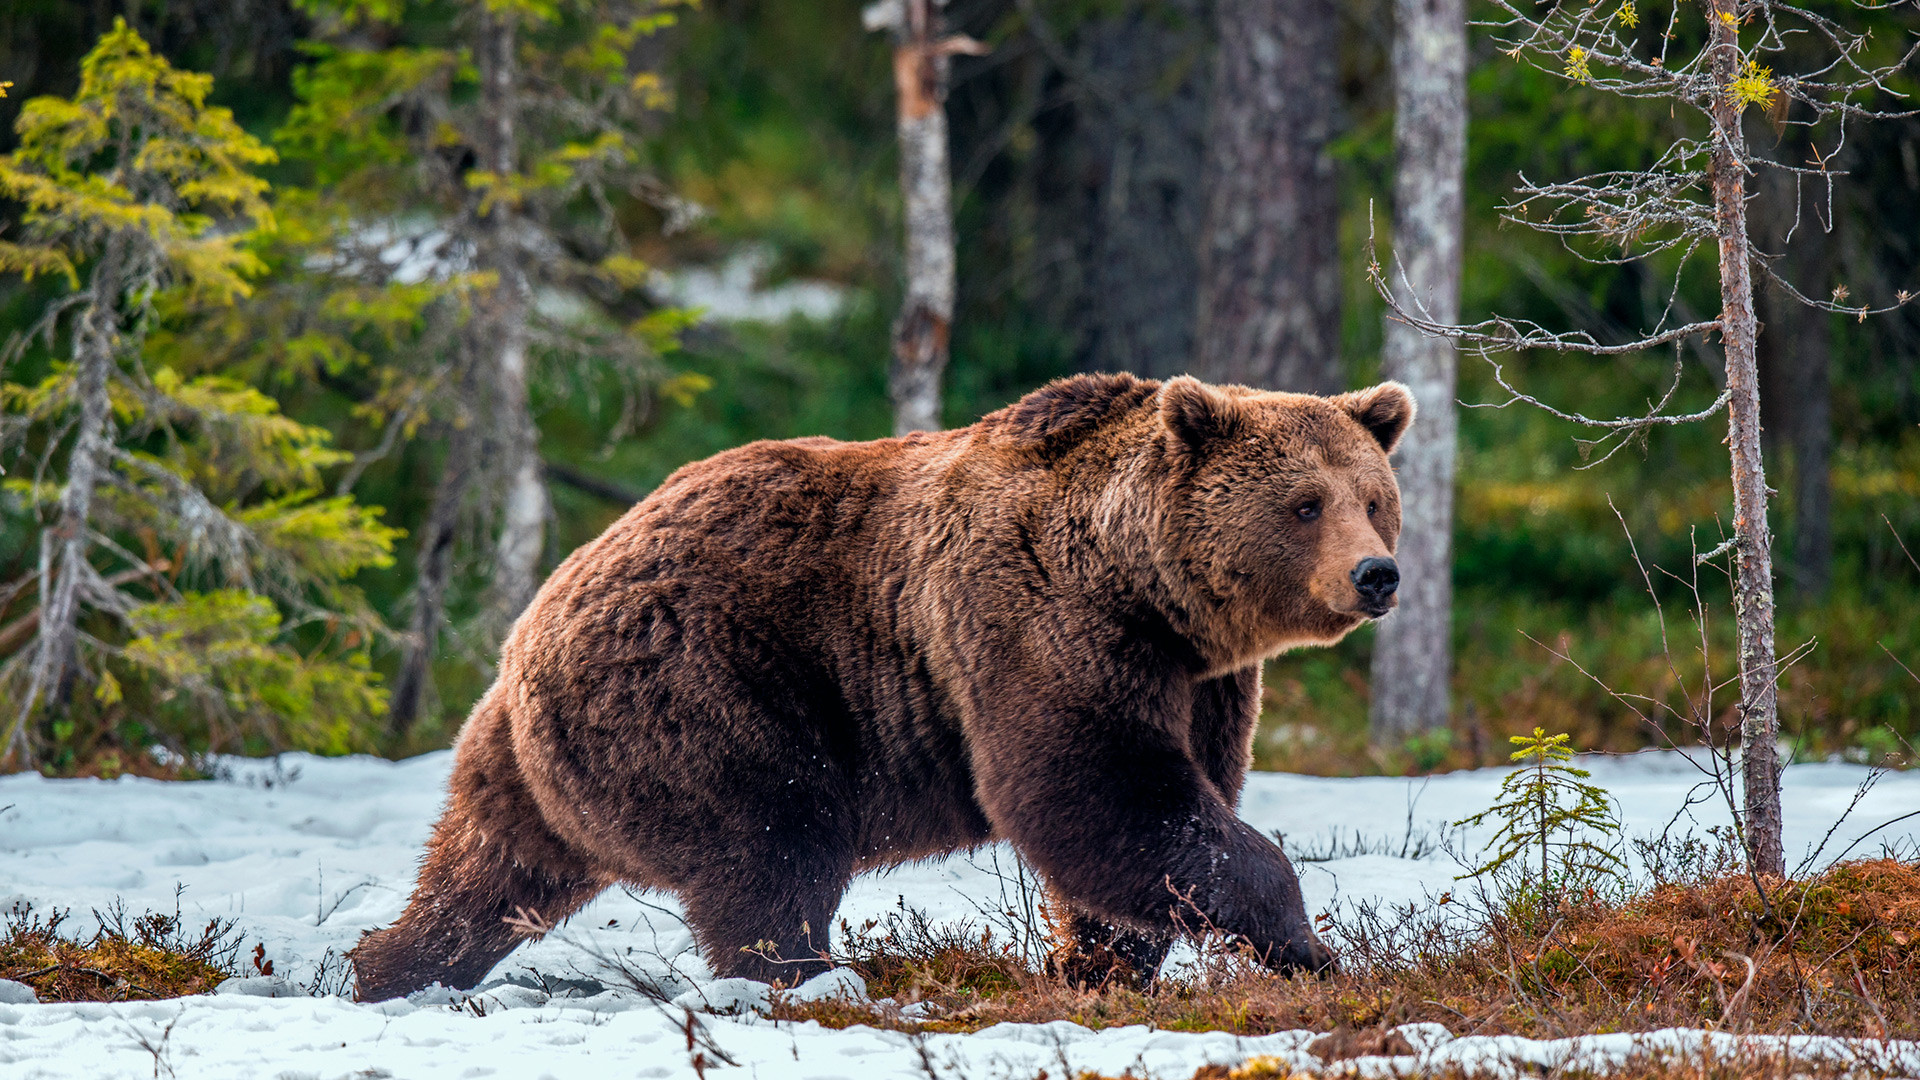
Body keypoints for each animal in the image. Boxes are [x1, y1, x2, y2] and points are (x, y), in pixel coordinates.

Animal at [353, 372, 1413, 999]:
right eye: (1304, 503)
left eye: (1374, 498)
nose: (1378, 575)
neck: (1147, 588)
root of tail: (539, 612)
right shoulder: (1038, 625)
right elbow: (1097, 793)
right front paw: (1308, 943)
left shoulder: (1202, 682)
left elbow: (1164, 811)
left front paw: (1101, 963)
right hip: (710, 689)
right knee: (773, 845)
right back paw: (811, 977)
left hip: (530, 755)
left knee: (486, 870)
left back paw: (385, 967)